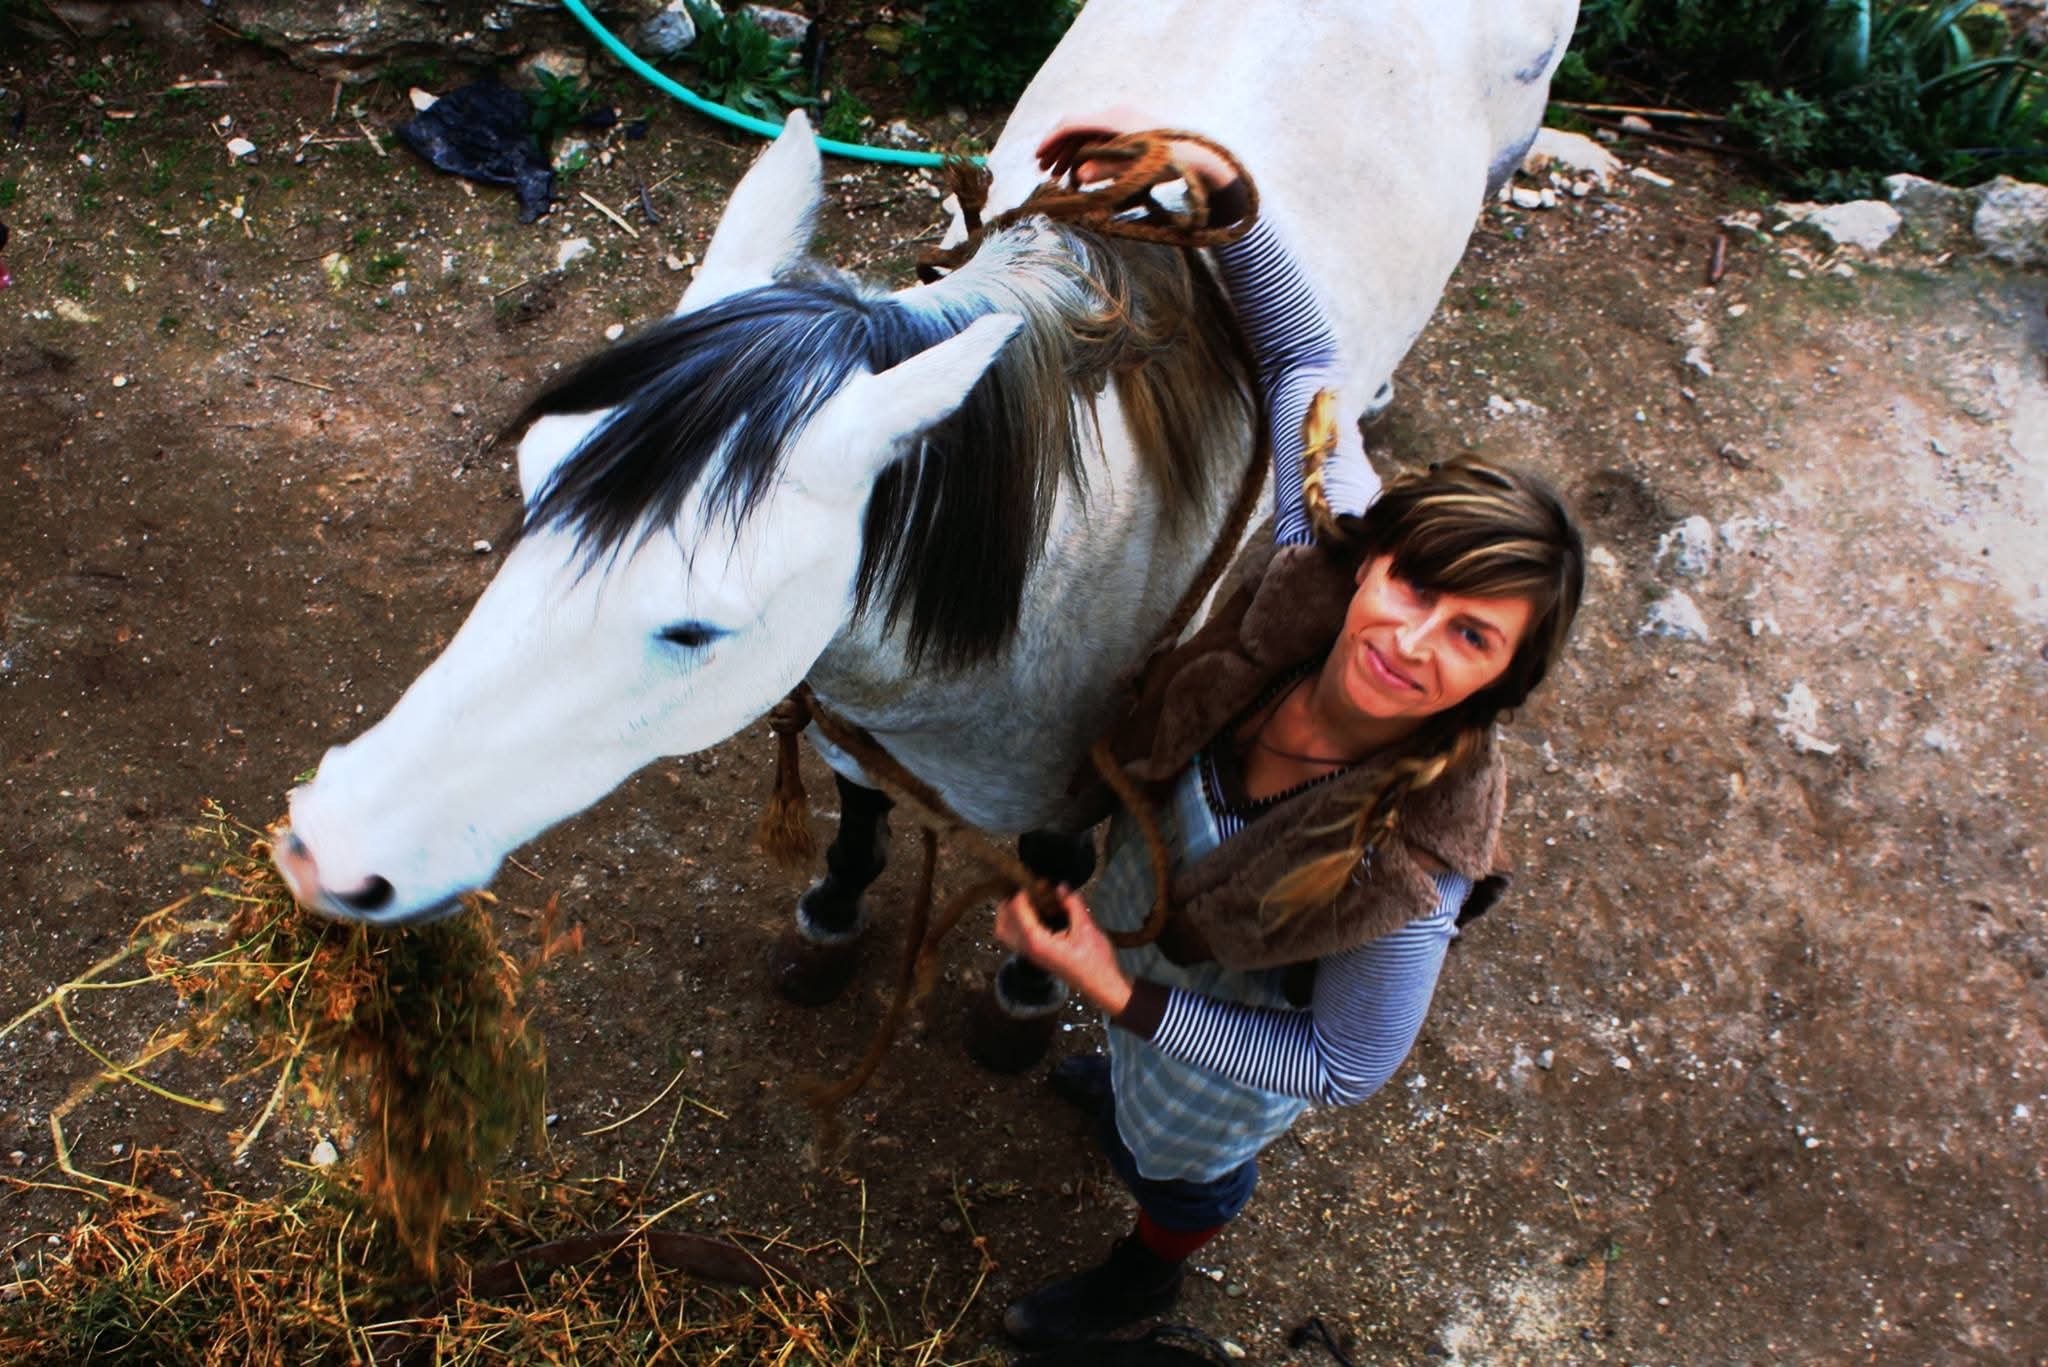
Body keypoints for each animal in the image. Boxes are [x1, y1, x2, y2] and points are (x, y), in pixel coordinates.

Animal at [273, 0, 1580, 938]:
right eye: (534, 488)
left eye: (695, 629)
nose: (325, 844)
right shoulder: (857, 703)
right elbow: (858, 800)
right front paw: (835, 903)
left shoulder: (1094, 771)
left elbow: (1056, 877)